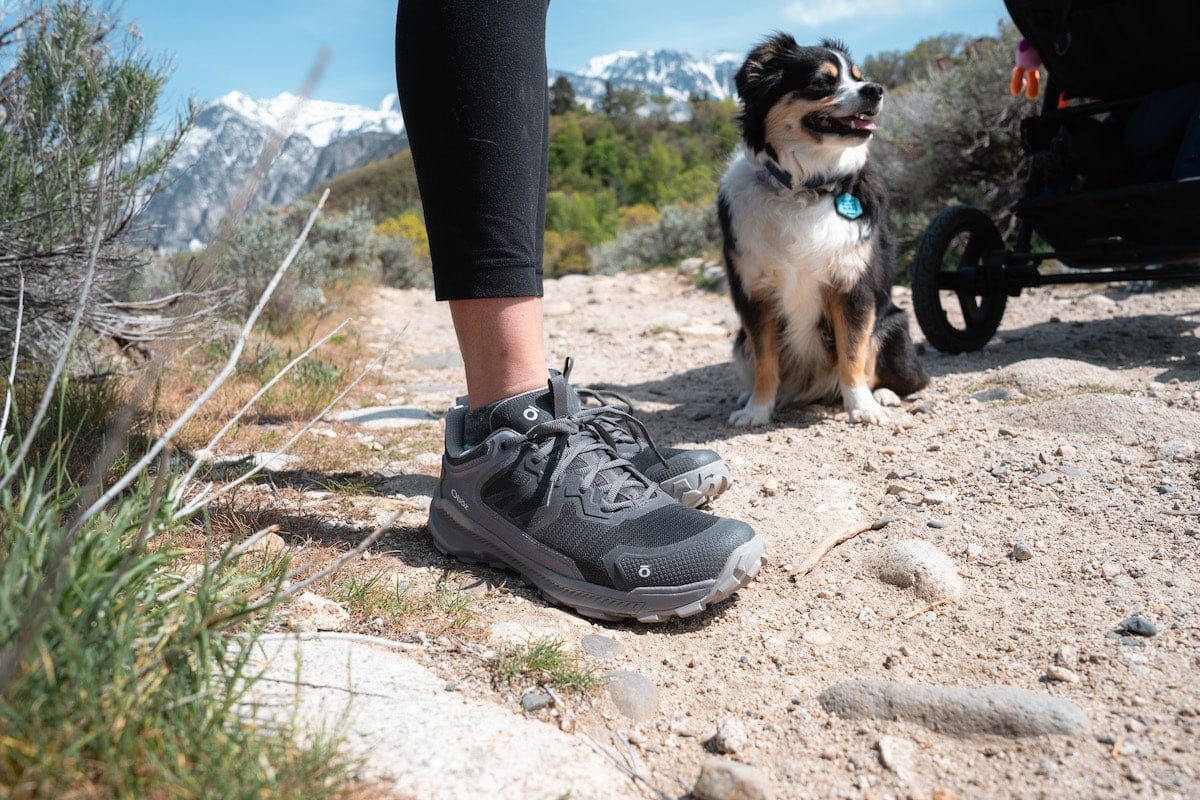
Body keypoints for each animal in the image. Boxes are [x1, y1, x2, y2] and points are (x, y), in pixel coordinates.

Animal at [715, 34, 931, 429]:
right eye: (822, 81)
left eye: (859, 76)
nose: (875, 89)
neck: (805, 187)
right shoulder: (754, 292)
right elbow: (765, 359)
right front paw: (757, 409)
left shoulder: (852, 287)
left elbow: (854, 352)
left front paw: (861, 407)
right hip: (738, 342)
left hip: (895, 327)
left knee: (906, 376)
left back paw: (884, 394)